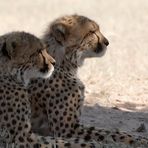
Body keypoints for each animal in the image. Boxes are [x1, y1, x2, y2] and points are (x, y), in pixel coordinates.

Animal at [28, 14, 148, 147]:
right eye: (91, 32)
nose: (107, 42)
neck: (64, 64)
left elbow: (110, 131)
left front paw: (138, 138)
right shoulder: (66, 130)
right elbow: (105, 133)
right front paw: (136, 140)